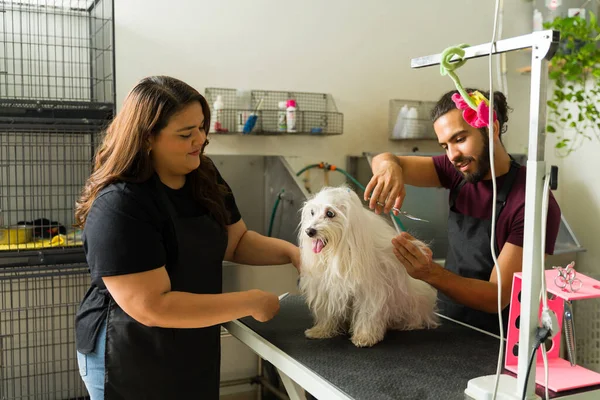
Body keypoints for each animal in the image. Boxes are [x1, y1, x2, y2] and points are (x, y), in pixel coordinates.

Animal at [298, 186, 438, 346]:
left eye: (330, 213)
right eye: (312, 212)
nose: (309, 231)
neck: (340, 251)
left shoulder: (371, 290)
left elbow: (367, 312)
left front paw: (365, 336)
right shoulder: (327, 288)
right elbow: (327, 311)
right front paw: (321, 330)